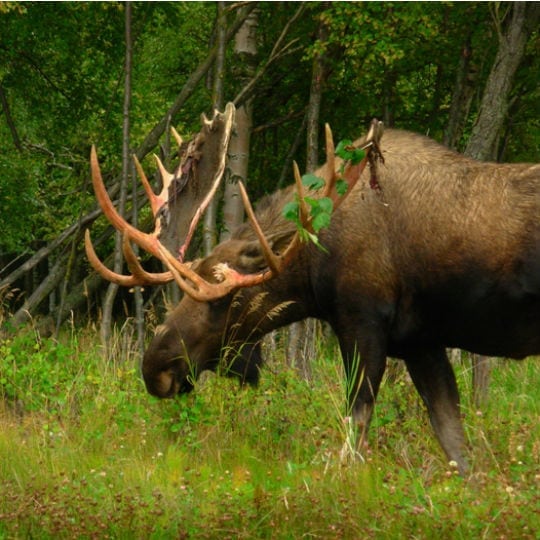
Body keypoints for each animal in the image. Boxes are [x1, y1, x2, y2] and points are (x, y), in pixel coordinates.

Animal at [86, 104, 536, 472]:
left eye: (230, 298)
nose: (155, 368)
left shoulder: (363, 323)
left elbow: (354, 438)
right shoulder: (420, 341)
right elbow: (458, 450)